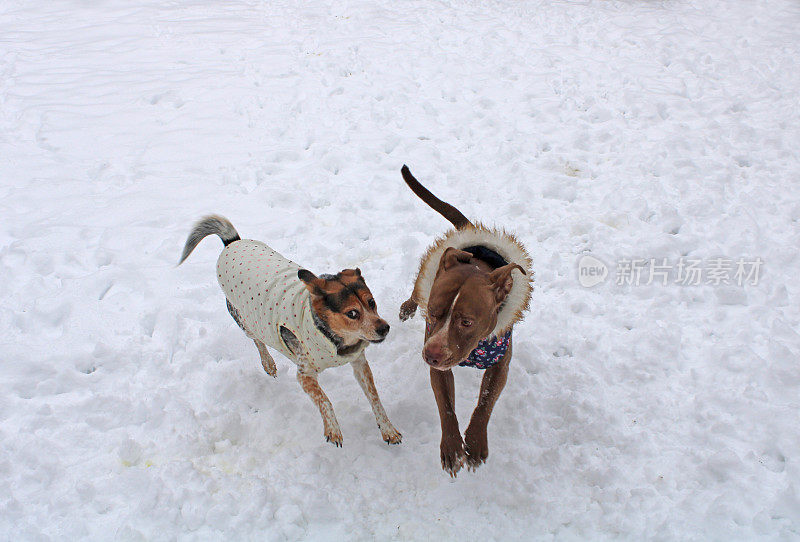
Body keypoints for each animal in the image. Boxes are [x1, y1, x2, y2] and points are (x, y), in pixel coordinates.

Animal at [180, 215, 400, 448]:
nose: (384, 328)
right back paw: (268, 363)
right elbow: (325, 400)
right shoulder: (305, 375)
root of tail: (233, 242)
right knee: (258, 341)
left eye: (371, 302)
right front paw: (333, 429)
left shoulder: (359, 363)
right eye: (352, 313)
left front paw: (387, 429)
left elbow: (374, 398)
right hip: (245, 319)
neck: (333, 339)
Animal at [398, 165, 536, 476]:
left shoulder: (500, 365)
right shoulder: (438, 367)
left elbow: (485, 403)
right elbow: (446, 406)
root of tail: (470, 229)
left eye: (467, 322)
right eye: (434, 313)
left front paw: (475, 441)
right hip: (428, 272)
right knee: (416, 288)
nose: (430, 354)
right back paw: (408, 306)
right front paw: (452, 447)